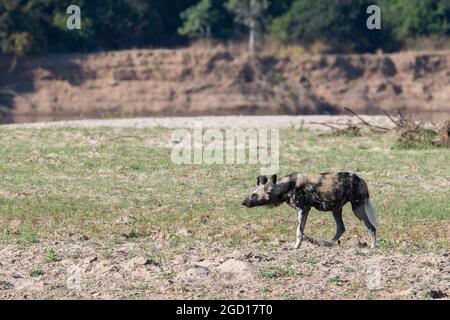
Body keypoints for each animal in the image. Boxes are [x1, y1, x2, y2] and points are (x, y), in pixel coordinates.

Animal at [241, 172, 378, 250]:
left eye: (254, 195)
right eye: (250, 194)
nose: (243, 202)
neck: (286, 186)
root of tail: (361, 179)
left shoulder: (302, 209)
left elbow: (298, 231)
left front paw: (296, 247)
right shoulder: (305, 210)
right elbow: (301, 231)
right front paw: (301, 243)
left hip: (358, 210)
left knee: (372, 227)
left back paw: (372, 246)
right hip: (335, 210)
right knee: (341, 229)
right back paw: (325, 243)